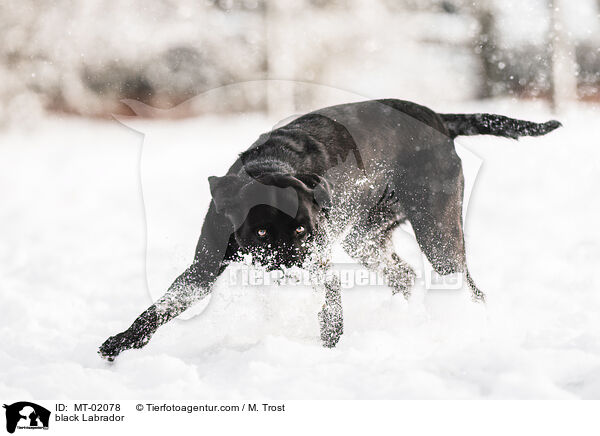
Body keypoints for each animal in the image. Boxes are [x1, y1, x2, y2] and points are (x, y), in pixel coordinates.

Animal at [96, 99, 560, 362]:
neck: (274, 165)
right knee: (405, 276)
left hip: (437, 233)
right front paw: (119, 344)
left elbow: (331, 311)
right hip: (364, 238)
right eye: (261, 235)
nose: (291, 266)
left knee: (469, 288)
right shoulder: (203, 268)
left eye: (304, 230)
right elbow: (157, 310)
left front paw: (329, 350)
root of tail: (439, 120)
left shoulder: (321, 264)